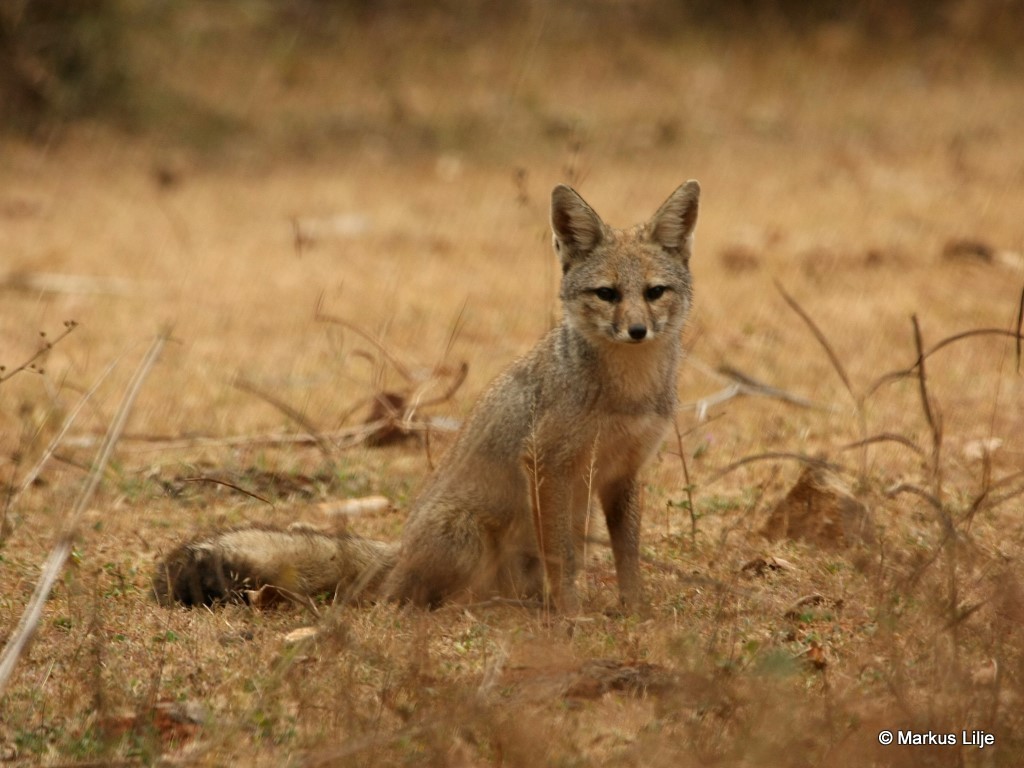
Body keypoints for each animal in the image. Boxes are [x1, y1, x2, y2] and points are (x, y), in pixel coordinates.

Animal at [154, 179, 700, 613]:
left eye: (654, 292)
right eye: (607, 294)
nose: (637, 331)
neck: (627, 390)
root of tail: (399, 549)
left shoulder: (623, 472)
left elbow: (628, 554)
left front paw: (635, 611)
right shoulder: (547, 464)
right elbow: (562, 559)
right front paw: (570, 616)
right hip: (468, 537)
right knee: (406, 600)